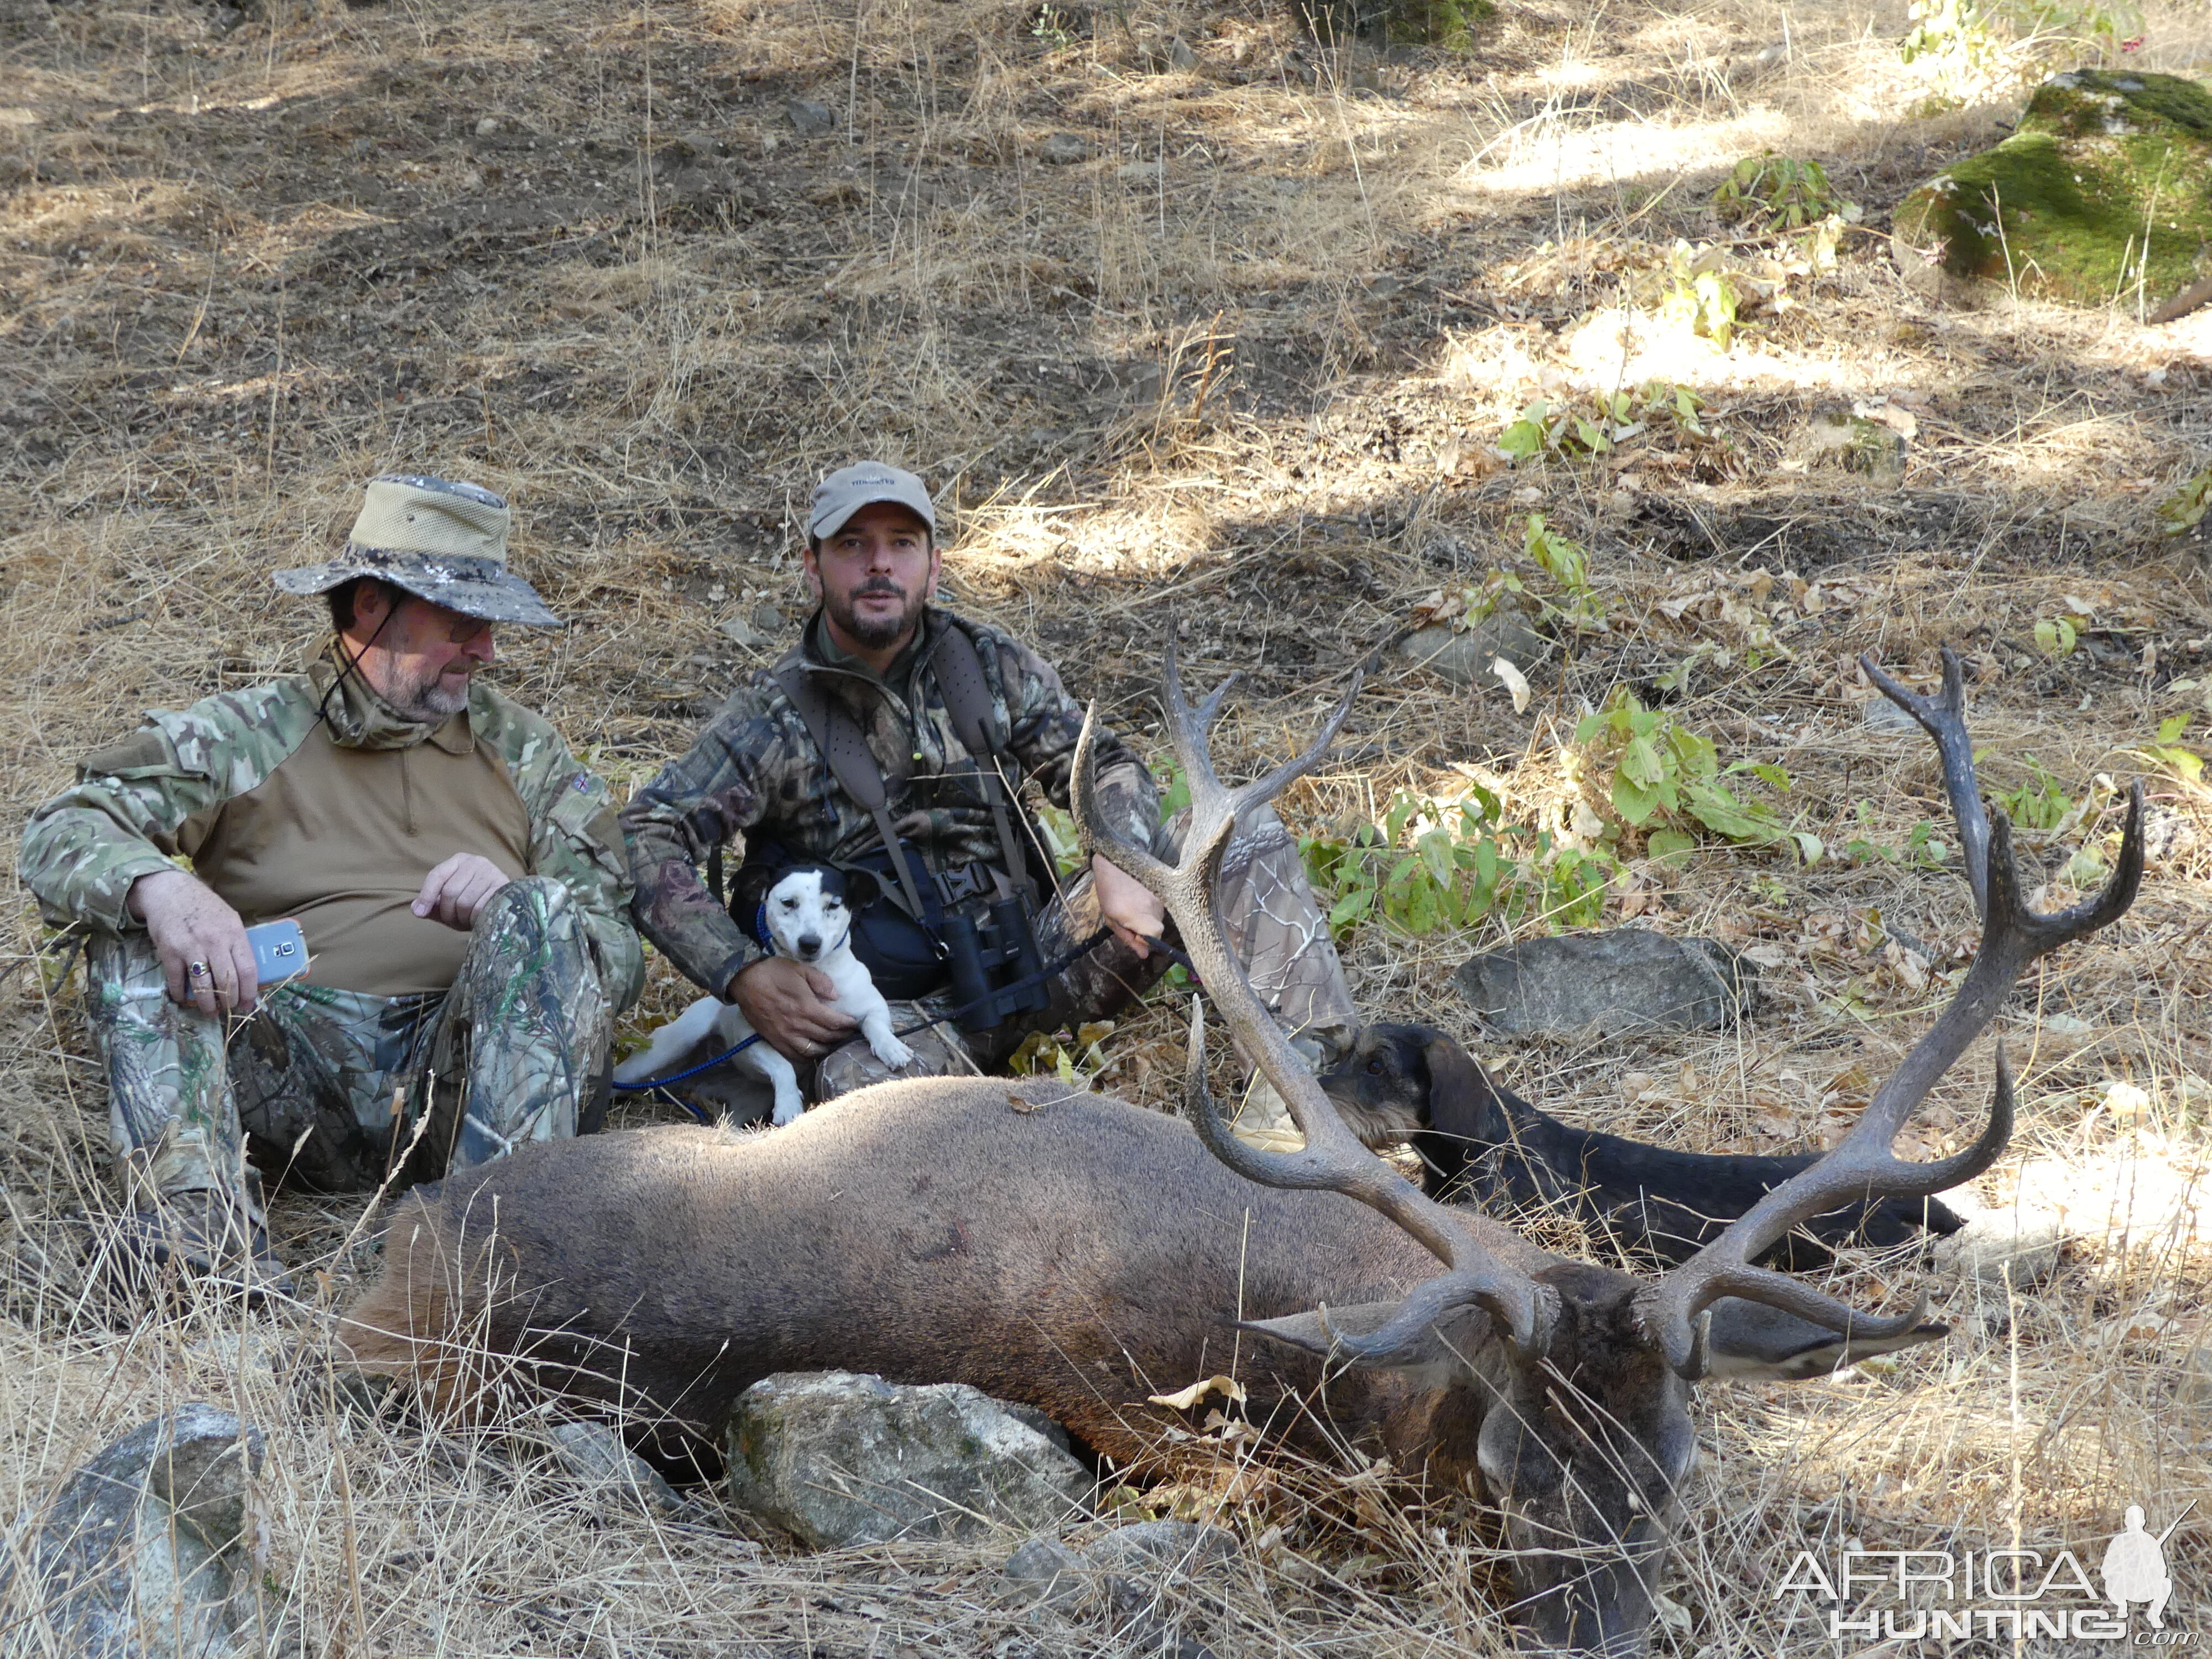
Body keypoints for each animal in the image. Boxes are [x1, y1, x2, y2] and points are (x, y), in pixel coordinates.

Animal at [611, 872, 911, 1133]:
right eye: (788, 903)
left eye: (833, 905)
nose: (810, 943)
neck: (813, 977)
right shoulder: (751, 1039)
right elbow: (782, 1066)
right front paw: (789, 1104)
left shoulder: (872, 1006)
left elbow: (875, 1024)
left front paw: (891, 1047)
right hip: (656, 1055)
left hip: (749, 1103)